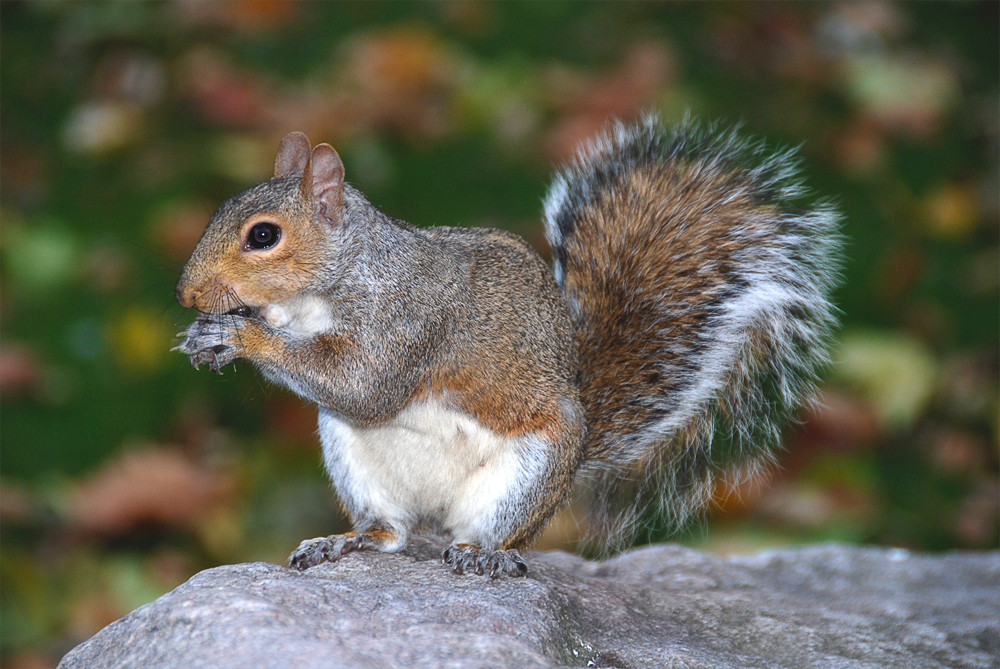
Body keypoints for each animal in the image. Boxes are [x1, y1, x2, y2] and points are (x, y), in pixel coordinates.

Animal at [176, 113, 840, 576]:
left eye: (264, 236)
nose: (186, 294)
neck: (330, 286)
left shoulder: (409, 320)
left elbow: (365, 386)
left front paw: (240, 334)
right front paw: (206, 336)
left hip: (528, 475)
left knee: (491, 532)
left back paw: (483, 554)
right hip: (353, 459)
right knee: (390, 533)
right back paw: (345, 540)